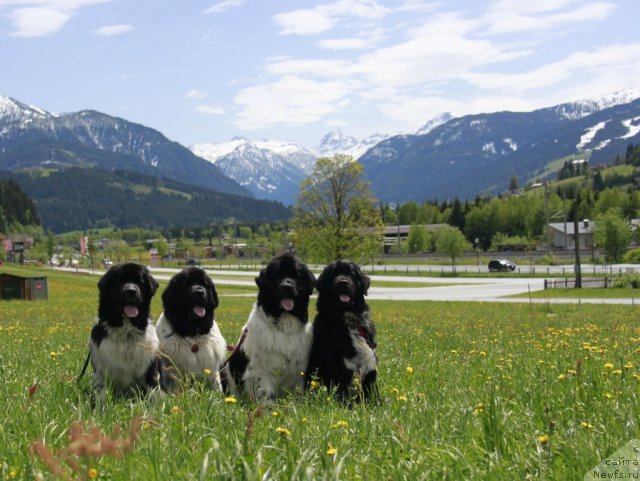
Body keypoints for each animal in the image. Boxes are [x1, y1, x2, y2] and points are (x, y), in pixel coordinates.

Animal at [87, 260, 162, 404]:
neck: (127, 333)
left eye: (140, 282)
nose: (131, 291)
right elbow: (102, 396)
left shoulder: (150, 370)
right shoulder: (100, 372)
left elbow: (154, 395)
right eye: (119, 281)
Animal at [221, 253, 316, 404]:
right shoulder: (261, 370)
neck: (285, 327)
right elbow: (265, 393)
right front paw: (268, 408)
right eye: (276, 275)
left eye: (297, 275)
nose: (287, 286)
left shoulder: (300, 369)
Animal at [306, 258, 378, 402]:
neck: (349, 323)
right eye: (333, 274)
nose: (343, 282)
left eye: (351, 274)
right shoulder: (340, 373)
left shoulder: (370, 373)